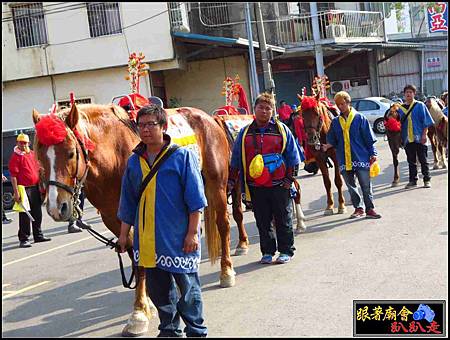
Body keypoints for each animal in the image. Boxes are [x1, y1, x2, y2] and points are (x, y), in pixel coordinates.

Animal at [32, 103, 241, 338]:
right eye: (40, 158)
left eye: (70, 153)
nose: (56, 208)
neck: (114, 155)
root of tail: (210, 118)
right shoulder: (114, 217)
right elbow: (134, 255)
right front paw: (147, 303)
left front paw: (139, 312)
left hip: (217, 186)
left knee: (223, 225)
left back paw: (226, 271)